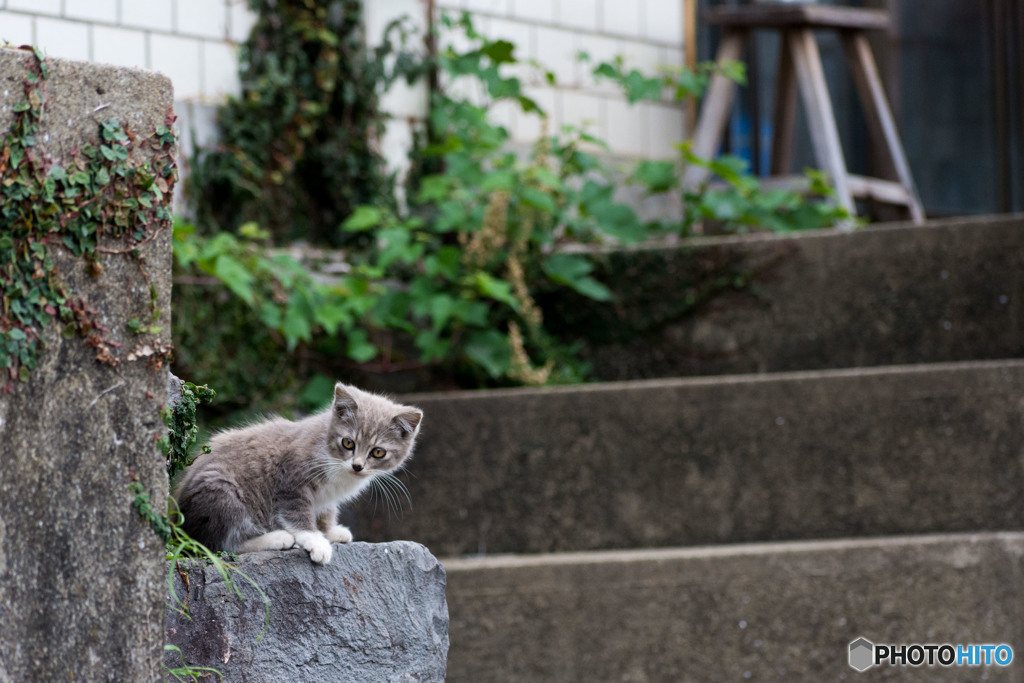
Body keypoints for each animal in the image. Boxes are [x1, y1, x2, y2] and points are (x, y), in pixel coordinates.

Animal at [174, 382, 421, 565]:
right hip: (220, 492)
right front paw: (316, 541)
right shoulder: (290, 478)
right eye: (348, 442)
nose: (357, 466)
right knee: (220, 545)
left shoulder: (326, 496)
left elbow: (325, 511)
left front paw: (329, 531)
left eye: (378, 452)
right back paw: (277, 538)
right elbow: (297, 511)